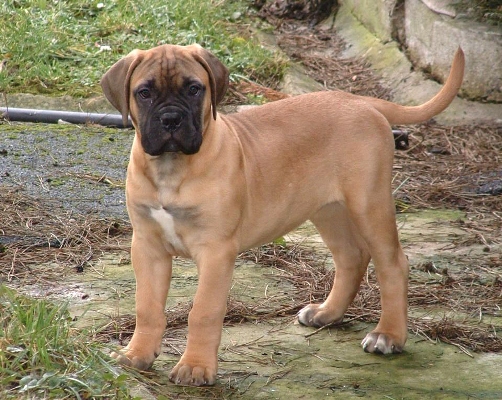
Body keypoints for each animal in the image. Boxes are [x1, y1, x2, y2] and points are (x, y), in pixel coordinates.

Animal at [102, 45, 466, 386]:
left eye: (194, 89)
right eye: (144, 92)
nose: (170, 120)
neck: (171, 169)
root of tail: (359, 101)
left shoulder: (216, 251)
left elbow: (203, 311)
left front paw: (195, 367)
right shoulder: (147, 246)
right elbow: (147, 306)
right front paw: (137, 354)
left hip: (369, 204)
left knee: (393, 264)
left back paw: (388, 335)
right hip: (327, 209)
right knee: (352, 256)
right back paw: (327, 312)